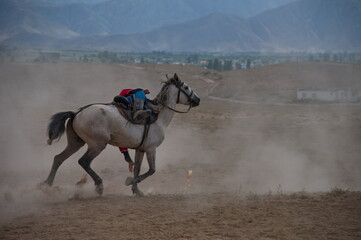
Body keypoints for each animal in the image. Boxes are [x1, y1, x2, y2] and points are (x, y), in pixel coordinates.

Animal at [40, 73, 201, 195]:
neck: (158, 116)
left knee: (58, 158)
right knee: (83, 162)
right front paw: (130, 182)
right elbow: (151, 170)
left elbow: (137, 169)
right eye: (186, 87)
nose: (198, 99)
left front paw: (137, 191)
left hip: (76, 143)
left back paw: (46, 184)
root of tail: (76, 114)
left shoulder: (140, 149)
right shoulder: (151, 149)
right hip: (97, 145)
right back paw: (99, 185)